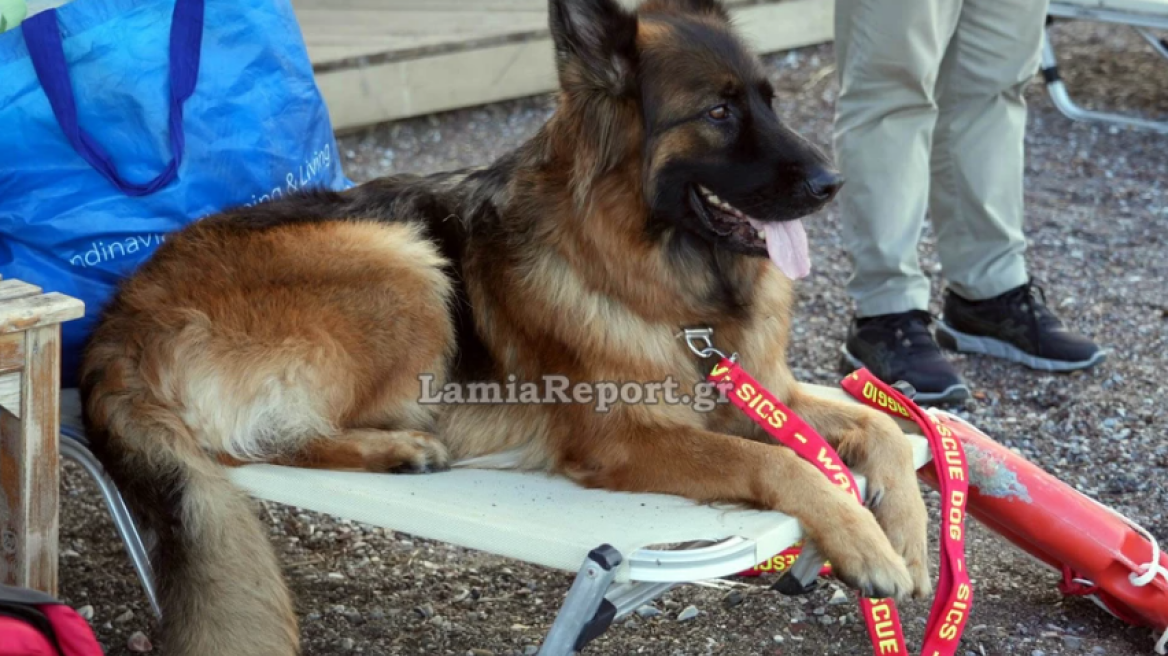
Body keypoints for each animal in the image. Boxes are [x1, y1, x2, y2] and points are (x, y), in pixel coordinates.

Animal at [82, 1, 929, 648]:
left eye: (771, 101)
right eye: (719, 112)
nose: (832, 182)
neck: (666, 278)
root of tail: (118, 316)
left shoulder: (763, 391)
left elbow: (881, 428)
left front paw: (910, 537)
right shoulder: (629, 440)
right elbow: (783, 464)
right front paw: (864, 541)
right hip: (399, 259)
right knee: (252, 445)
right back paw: (398, 448)